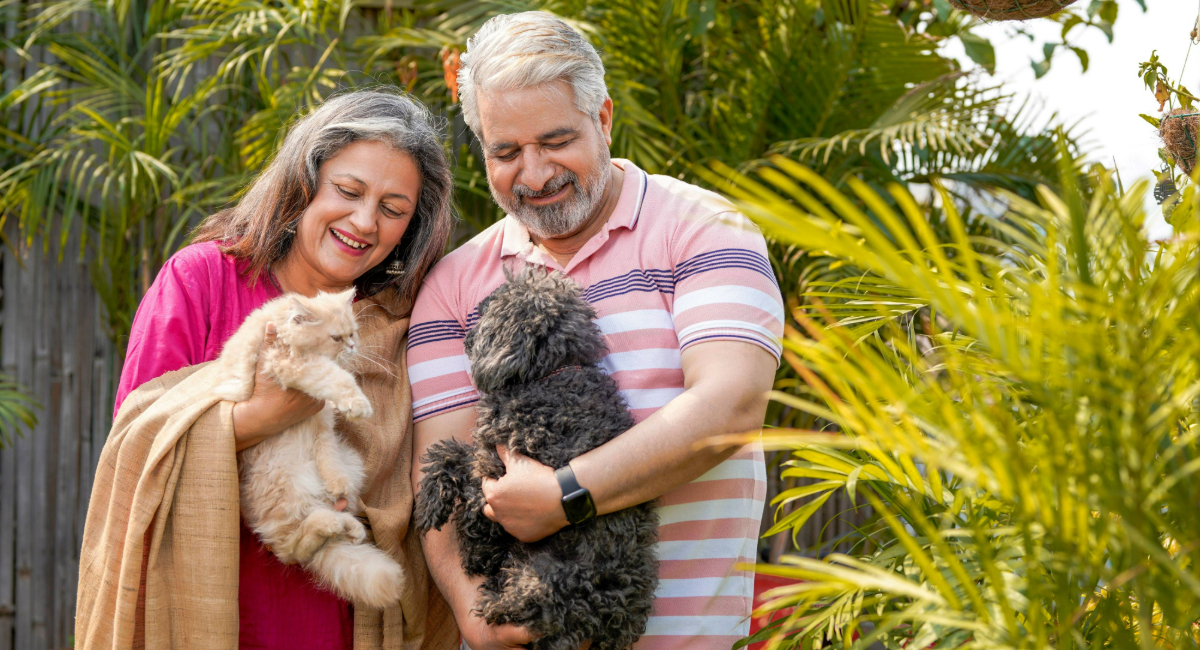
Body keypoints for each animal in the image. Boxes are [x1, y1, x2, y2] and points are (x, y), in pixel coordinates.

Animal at [213, 290, 405, 611]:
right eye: (336, 338)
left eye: (352, 333)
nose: (352, 346)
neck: (280, 328)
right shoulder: (293, 363)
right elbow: (337, 376)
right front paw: (358, 404)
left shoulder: (322, 424)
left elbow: (328, 456)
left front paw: (337, 483)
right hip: (283, 485)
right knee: (290, 548)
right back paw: (330, 523)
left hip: (348, 466)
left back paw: (348, 525)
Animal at [412, 267, 657, 650]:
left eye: (493, 308)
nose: (470, 330)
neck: (549, 377)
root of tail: (611, 621)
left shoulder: (495, 469)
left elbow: (455, 462)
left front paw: (438, 513)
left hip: (547, 581)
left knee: (518, 605)